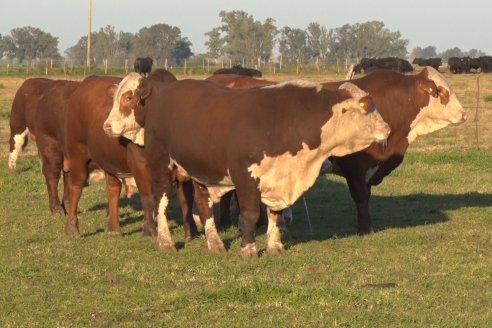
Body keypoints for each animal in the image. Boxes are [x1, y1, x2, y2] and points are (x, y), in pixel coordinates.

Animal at [104, 75, 392, 258]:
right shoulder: (245, 177)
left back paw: (215, 243)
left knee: (203, 204)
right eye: (366, 107)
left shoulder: (277, 177)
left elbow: (275, 214)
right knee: (161, 201)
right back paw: (165, 241)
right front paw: (249, 249)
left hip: (200, 170)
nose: (388, 128)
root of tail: (165, 93)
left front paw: (275, 247)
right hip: (162, 164)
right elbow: (252, 214)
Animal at [320, 66, 468, 234]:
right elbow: (360, 195)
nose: (464, 114)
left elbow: (367, 194)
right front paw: (365, 229)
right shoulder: (354, 166)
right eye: (440, 91)